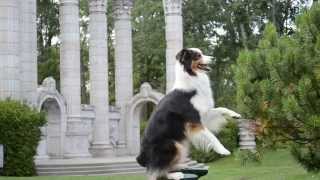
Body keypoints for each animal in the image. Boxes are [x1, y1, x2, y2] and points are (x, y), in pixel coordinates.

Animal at [137, 48, 240, 180]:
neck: (192, 77)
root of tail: (142, 158)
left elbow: (221, 108)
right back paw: (175, 174)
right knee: (157, 172)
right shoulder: (194, 121)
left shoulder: (203, 114)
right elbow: (211, 136)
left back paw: (181, 166)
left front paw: (235, 114)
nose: (213, 58)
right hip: (172, 144)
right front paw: (223, 150)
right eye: (197, 56)